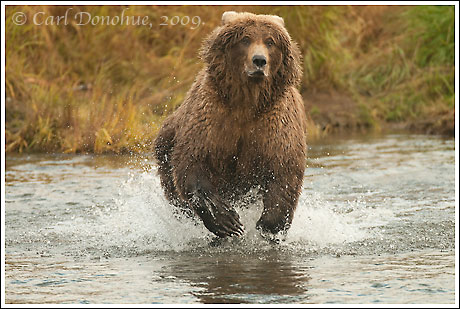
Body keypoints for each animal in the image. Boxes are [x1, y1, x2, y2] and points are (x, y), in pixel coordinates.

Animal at [153, 11, 308, 238]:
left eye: (270, 41)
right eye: (245, 39)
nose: (259, 60)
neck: (247, 102)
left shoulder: (276, 126)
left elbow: (284, 170)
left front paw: (269, 225)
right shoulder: (211, 117)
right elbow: (193, 160)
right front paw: (227, 221)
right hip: (166, 145)